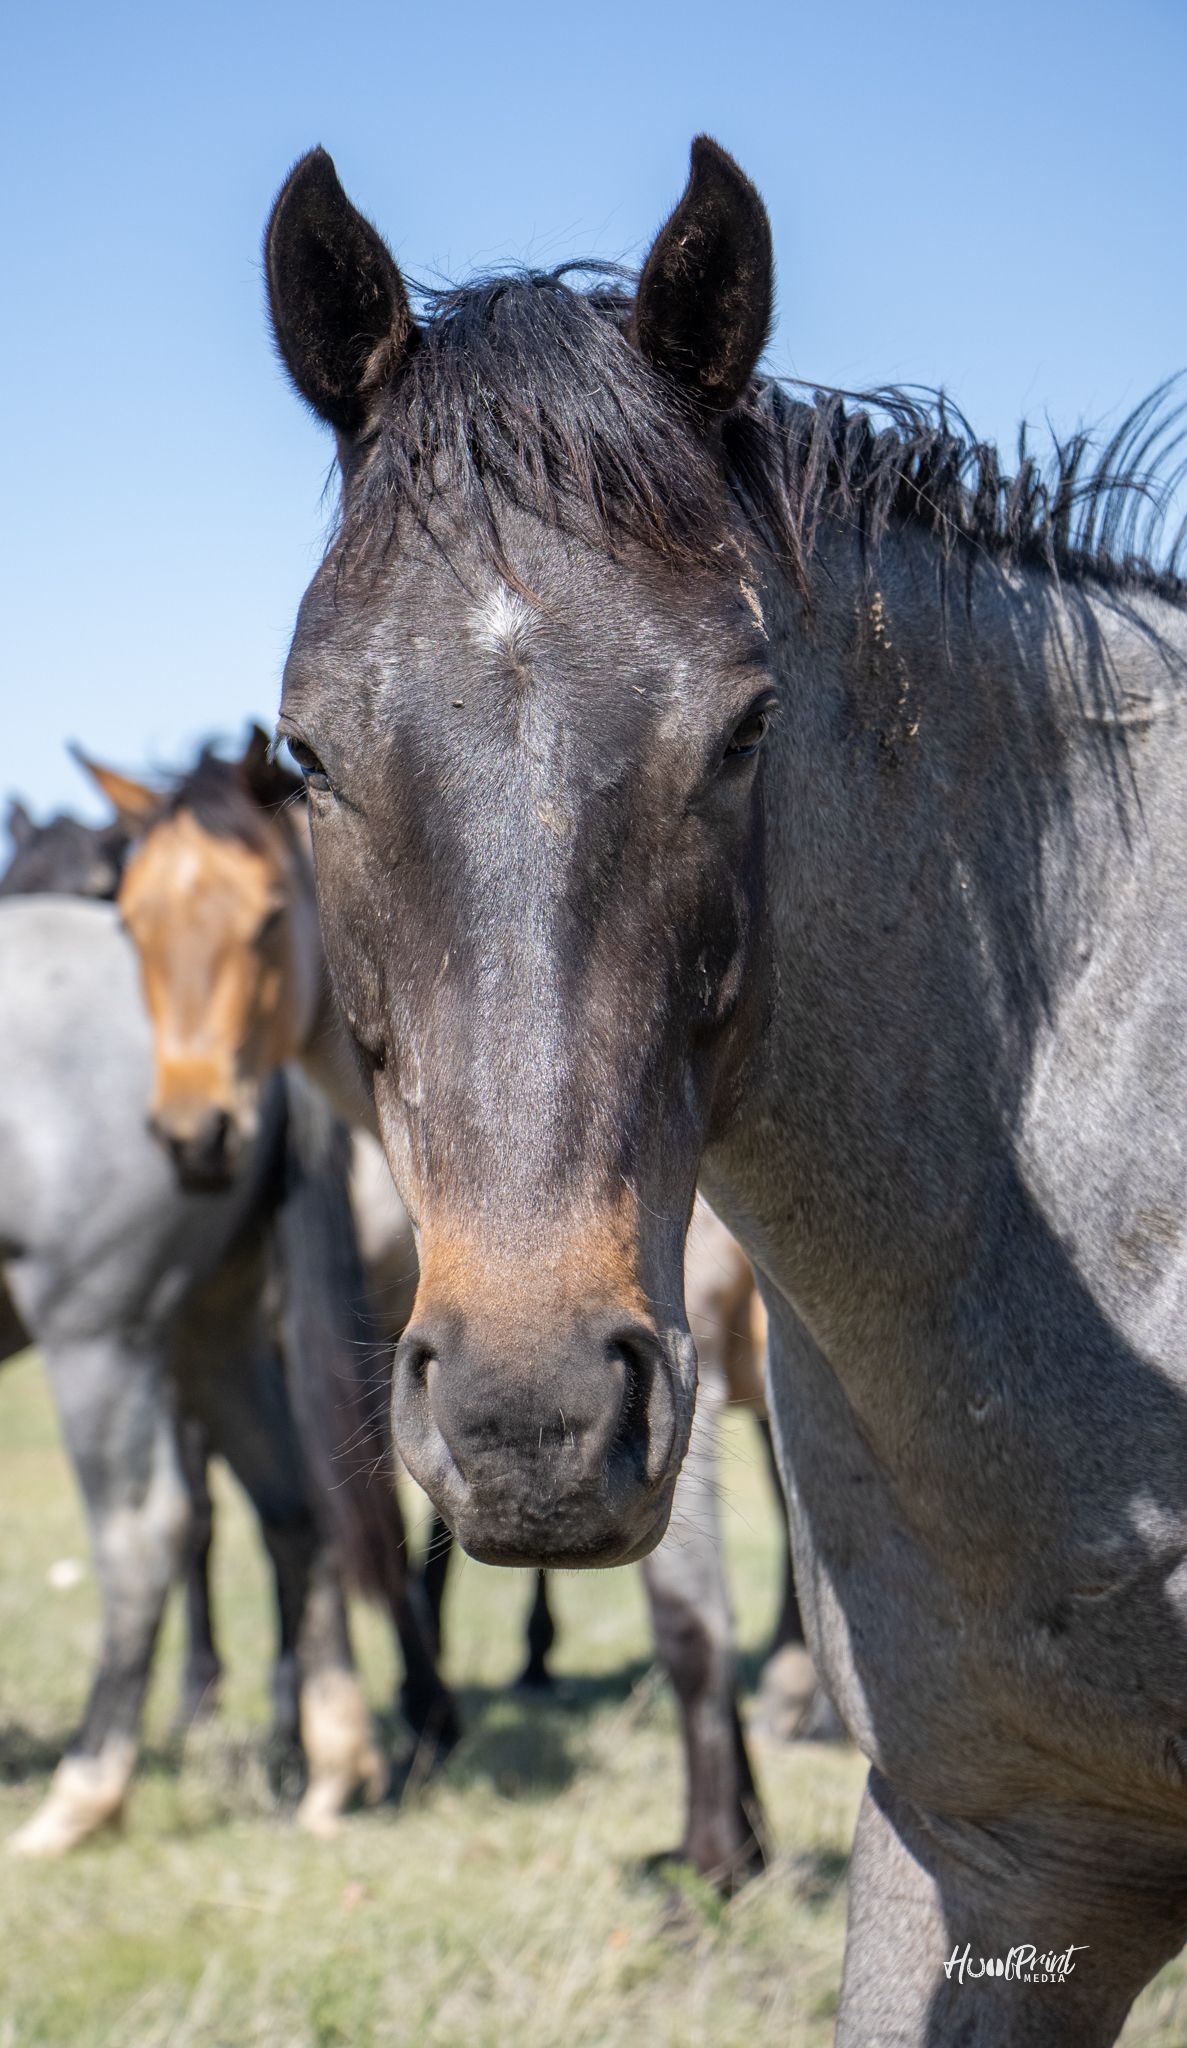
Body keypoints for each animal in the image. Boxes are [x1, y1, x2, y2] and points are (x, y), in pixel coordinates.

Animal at [0, 895, 454, 1852]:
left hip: (101, 1333)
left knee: (145, 1538)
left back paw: (84, 1794)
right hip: (214, 1330)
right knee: (294, 1507)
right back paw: (334, 1763)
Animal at [77, 729, 821, 1882]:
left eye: (264, 917)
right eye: (134, 925)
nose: (197, 1134)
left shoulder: (650, 1389)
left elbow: (688, 1619)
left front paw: (715, 1854)